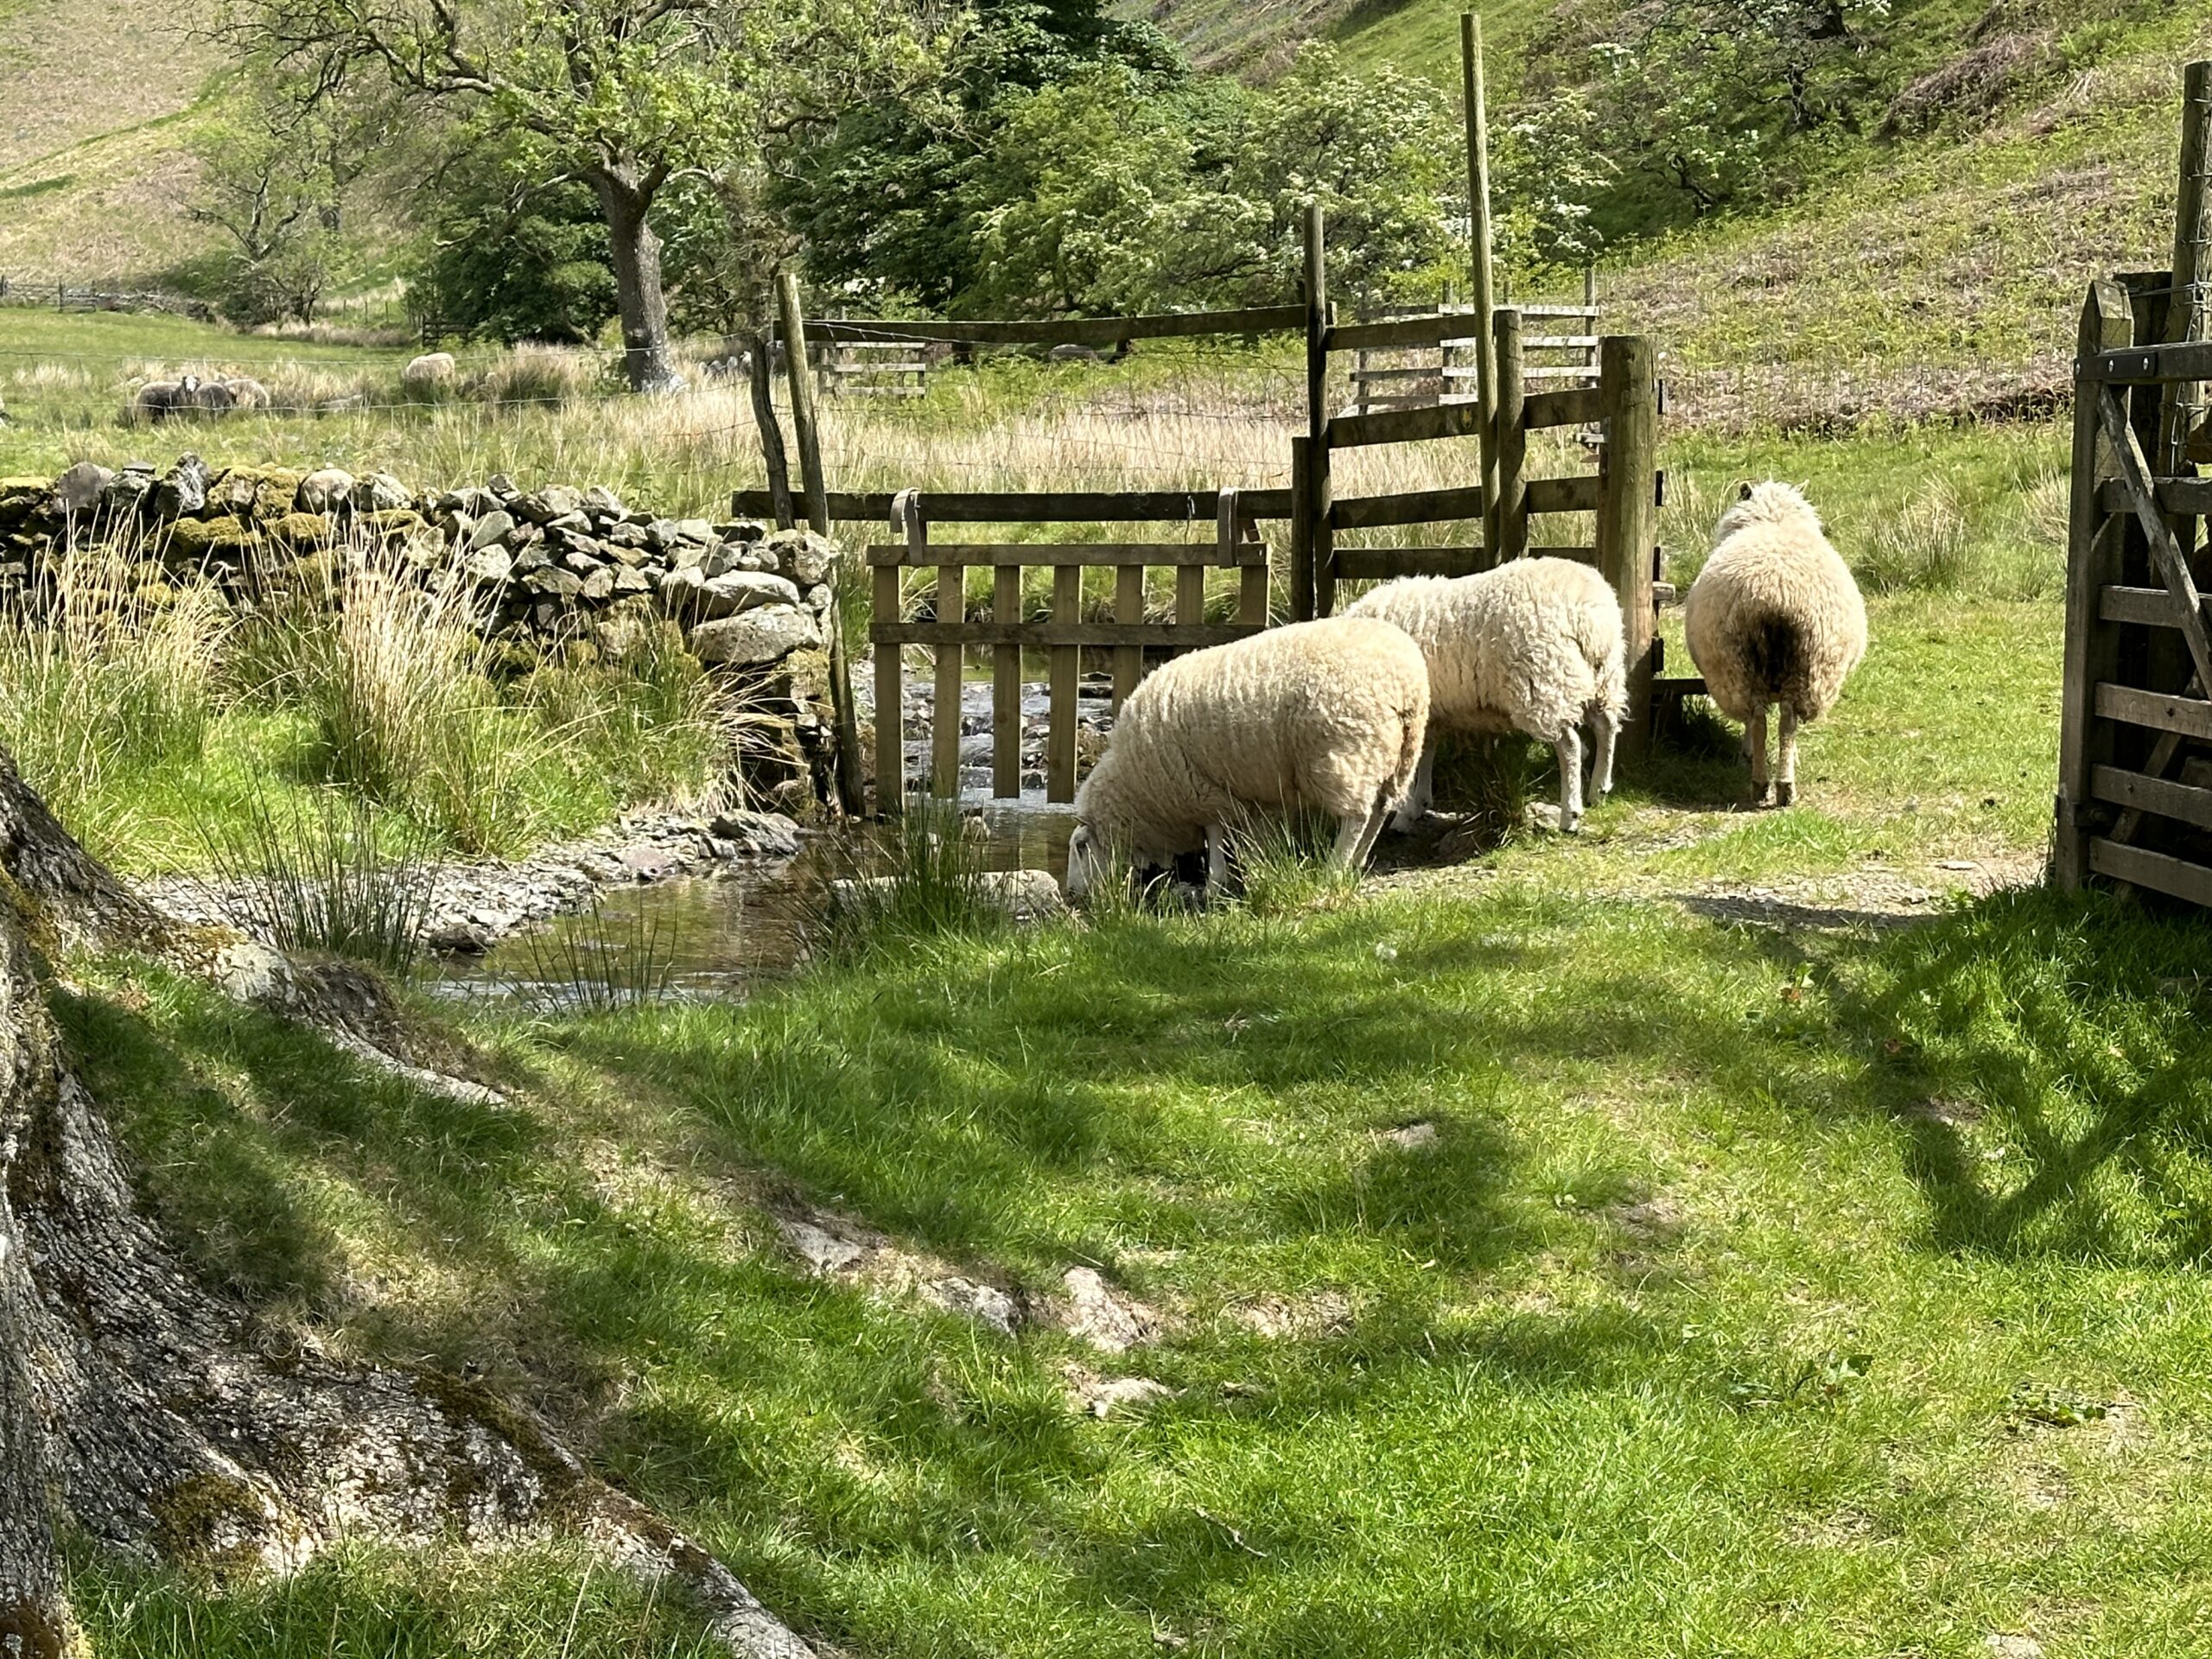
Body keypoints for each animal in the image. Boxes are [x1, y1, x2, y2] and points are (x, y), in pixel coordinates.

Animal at [1063, 616, 1429, 902]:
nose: (1070, 893)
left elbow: (1215, 840)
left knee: (1357, 816)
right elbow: (1252, 838)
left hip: (1345, 751)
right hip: (1400, 754)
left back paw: (1336, 866)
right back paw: (1357, 861)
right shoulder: (1249, 794)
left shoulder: (1203, 792)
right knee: (1380, 810)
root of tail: (1405, 679)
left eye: (1080, 847)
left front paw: (1214, 885)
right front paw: (1257, 867)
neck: (1139, 789)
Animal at [1345, 557, 1627, 834]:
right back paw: (1599, 789)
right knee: (1606, 726)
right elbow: (1426, 753)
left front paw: (1403, 815)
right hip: (1603, 676)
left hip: (1545, 681)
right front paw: (1419, 803)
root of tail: (1590, 614)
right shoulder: (1429, 713)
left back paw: (1571, 814)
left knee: (1570, 746)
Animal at [1683, 480, 1867, 807]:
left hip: (1752, 667)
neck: (1773, 520)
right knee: (1779, 721)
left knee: (1765, 719)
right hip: (1799, 666)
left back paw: (1769, 783)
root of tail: (1775, 596)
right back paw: (1777, 784)